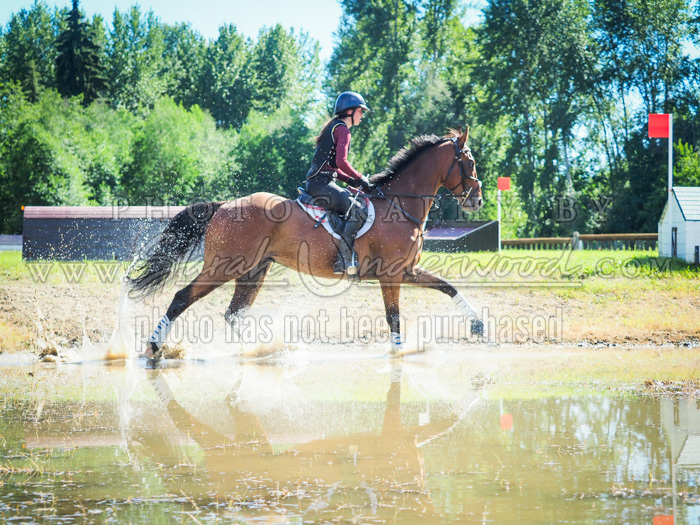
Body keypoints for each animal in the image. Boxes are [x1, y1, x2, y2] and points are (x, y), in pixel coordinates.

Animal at [129, 125, 484, 358]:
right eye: (470, 162)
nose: (477, 200)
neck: (399, 203)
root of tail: (225, 205)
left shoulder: (407, 271)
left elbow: (447, 286)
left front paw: (478, 324)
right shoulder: (392, 275)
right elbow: (394, 317)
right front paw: (398, 355)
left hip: (254, 270)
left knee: (233, 313)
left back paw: (261, 349)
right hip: (224, 266)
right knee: (182, 298)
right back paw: (155, 347)